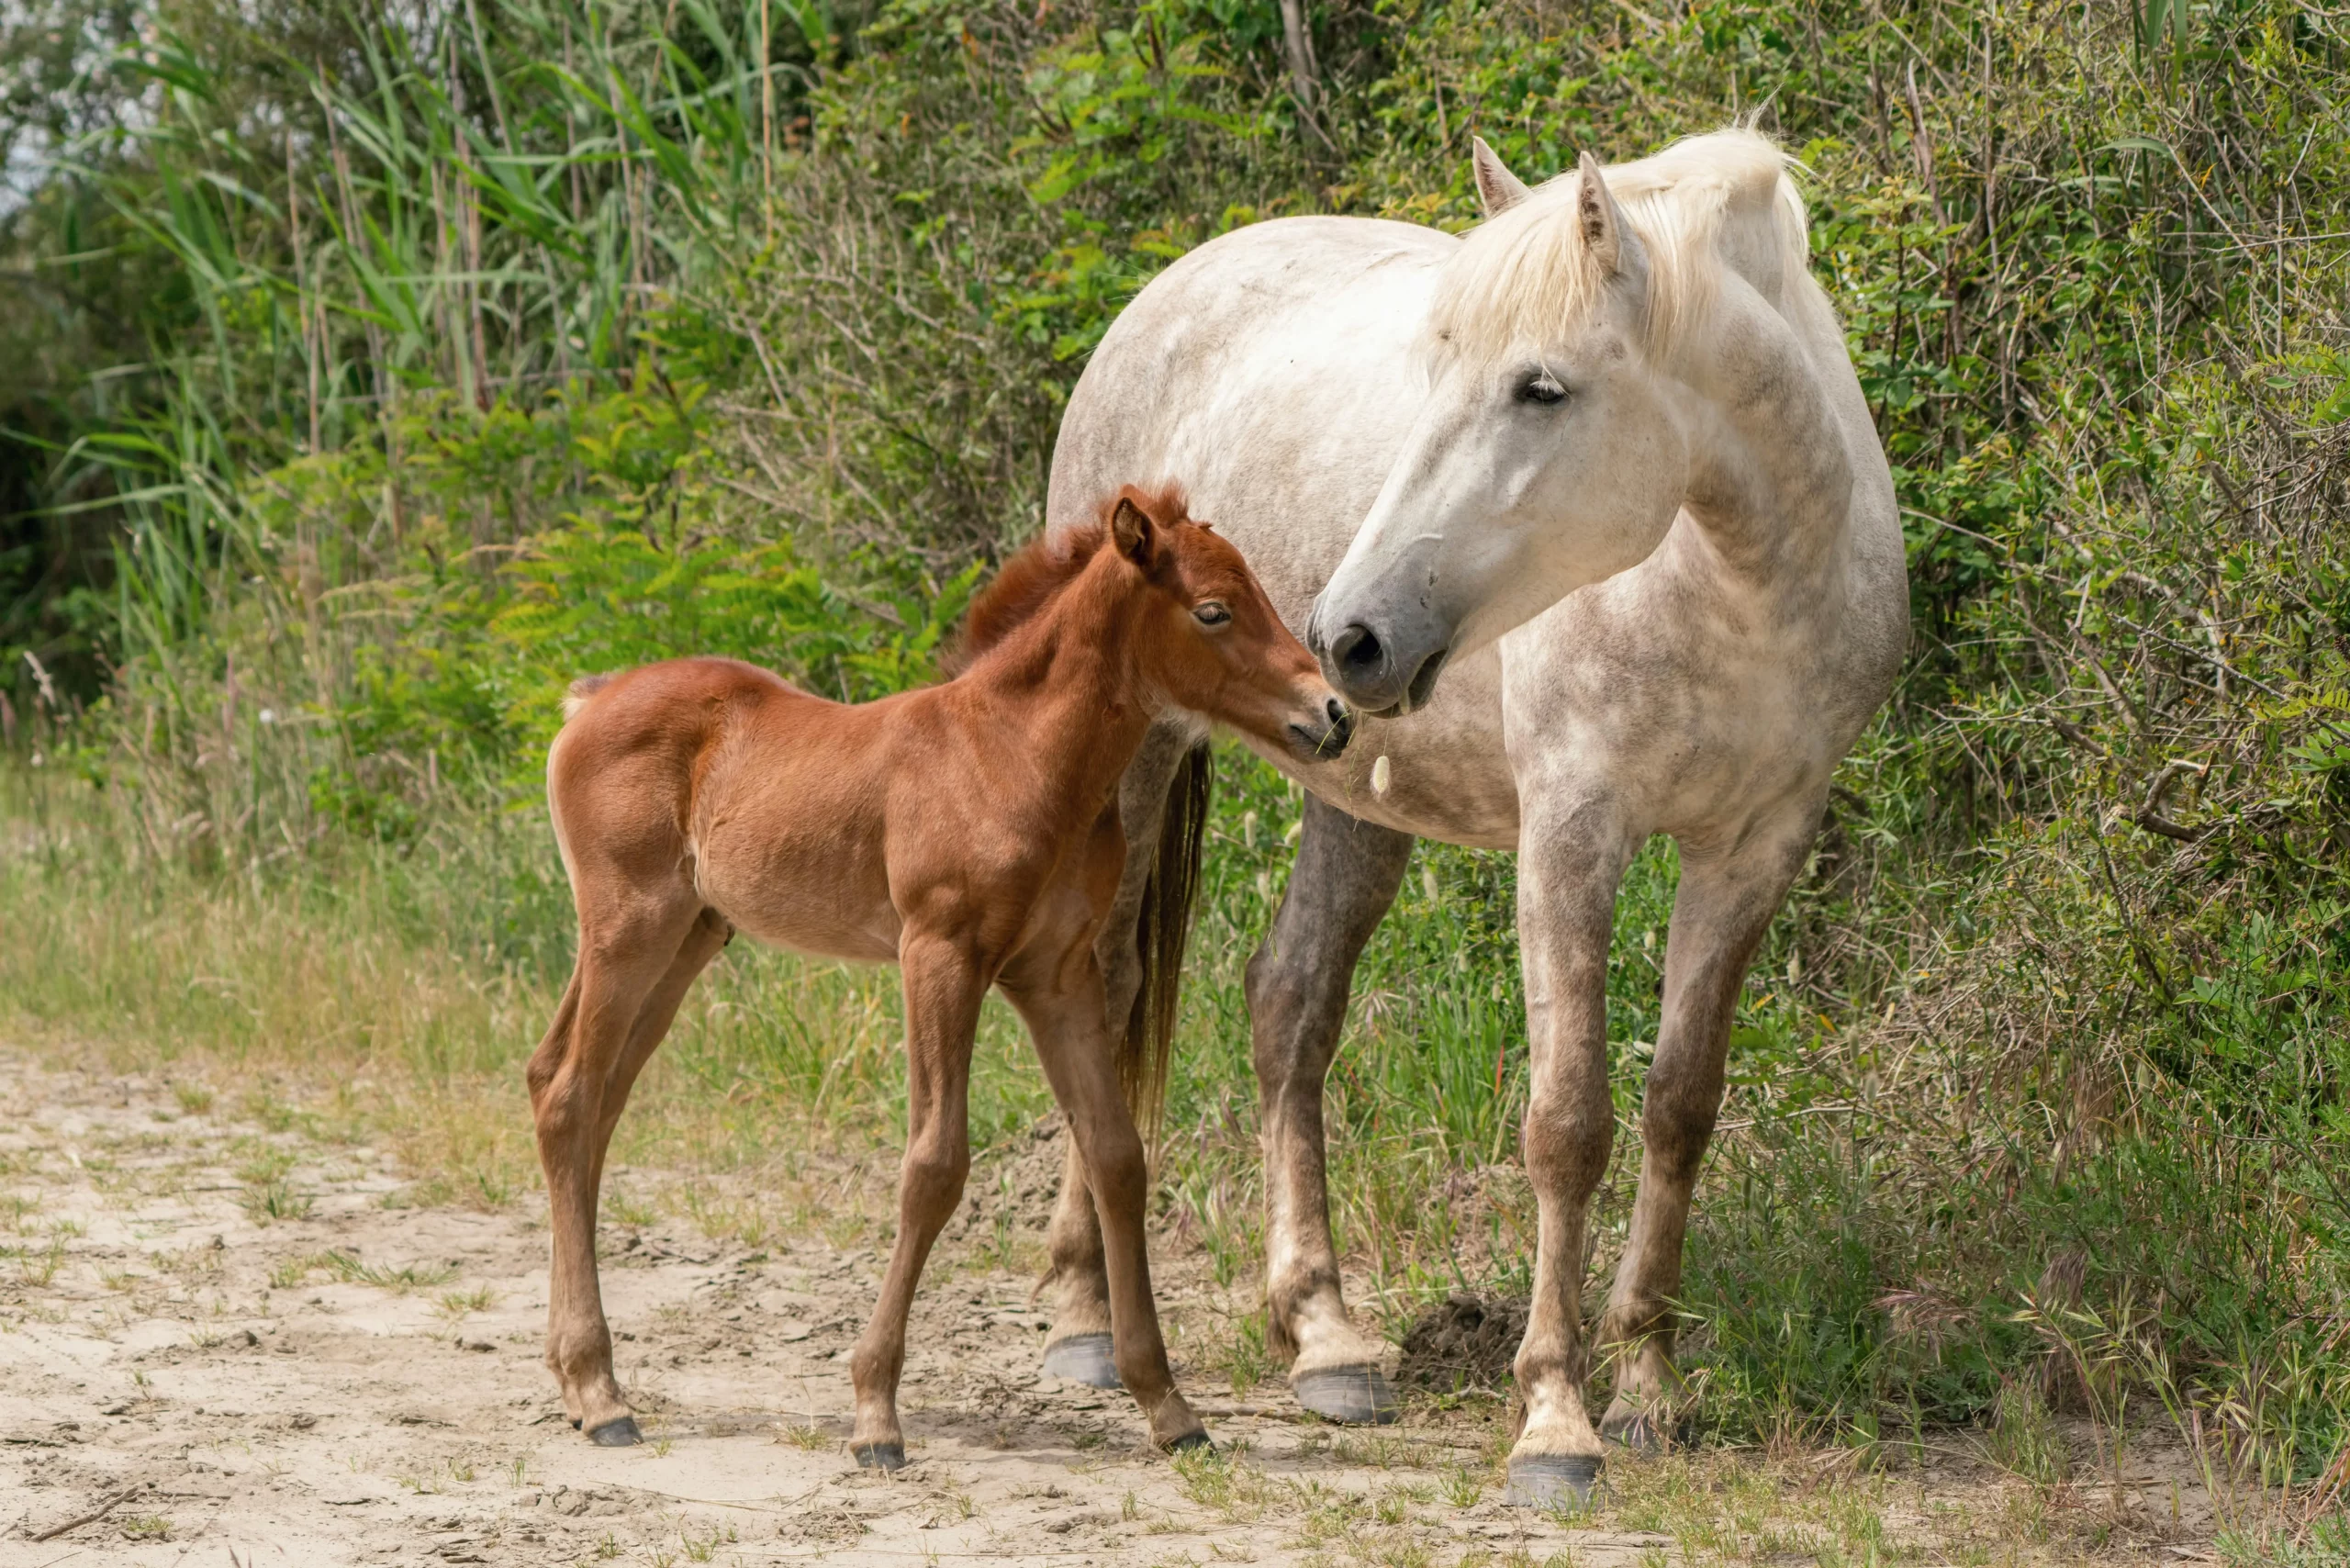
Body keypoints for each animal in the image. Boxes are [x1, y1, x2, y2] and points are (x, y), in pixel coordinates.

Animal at [526, 485, 1355, 1466]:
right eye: (1215, 610)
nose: (1333, 713)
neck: (1013, 755)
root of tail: (591, 699)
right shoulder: (940, 955)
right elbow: (933, 1166)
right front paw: (874, 1411)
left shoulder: (1057, 975)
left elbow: (1115, 1157)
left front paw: (1169, 1406)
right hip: (629, 930)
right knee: (570, 1097)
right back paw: (601, 1393)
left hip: (686, 938)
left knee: (576, 1095)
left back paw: (575, 1380)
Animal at [1036, 130, 1907, 1505]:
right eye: (1436, 369)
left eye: (1541, 389)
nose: (1345, 634)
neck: (1734, 581)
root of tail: (1167, 291)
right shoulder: (1572, 835)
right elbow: (1566, 1124)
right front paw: (1555, 1417)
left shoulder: (1755, 847)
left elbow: (1680, 1106)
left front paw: (1650, 1385)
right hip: (1134, 764)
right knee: (1108, 991)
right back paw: (1081, 1321)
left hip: (1356, 807)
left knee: (1290, 1005)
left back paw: (1326, 1338)